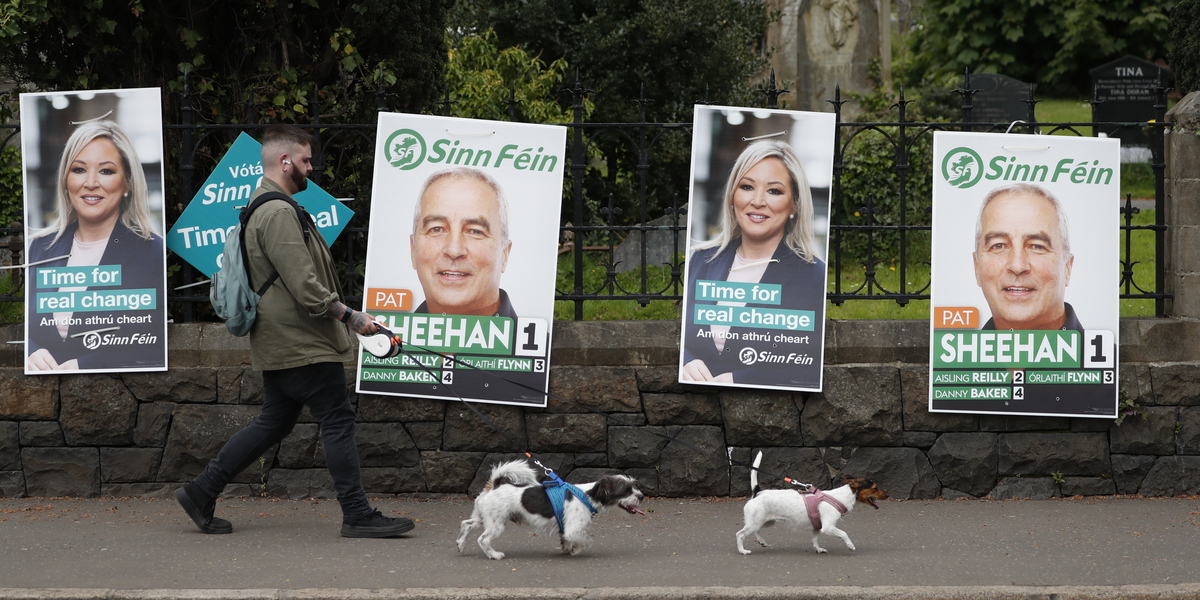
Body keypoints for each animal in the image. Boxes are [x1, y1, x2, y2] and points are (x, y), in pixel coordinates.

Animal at [458, 460, 648, 559]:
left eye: (634, 486)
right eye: (626, 490)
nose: (641, 496)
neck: (586, 495)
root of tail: (495, 485)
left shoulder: (565, 527)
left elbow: (566, 538)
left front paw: (567, 548)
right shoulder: (574, 529)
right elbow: (586, 539)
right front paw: (575, 549)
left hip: (482, 518)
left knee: (466, 524)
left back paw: (461, 544)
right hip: (496, 523)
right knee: (483, 539)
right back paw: (494, 554)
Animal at [734, 451, 888, 552]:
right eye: (875, 488)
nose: (887, 495)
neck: (841, 496)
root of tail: (757, 492)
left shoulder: (817, 527)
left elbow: (815, 539)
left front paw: (818, 549)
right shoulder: (828, 527)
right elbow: (844, 533)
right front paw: (850, 545)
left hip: (765, 521)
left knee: (756, 531)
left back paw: (762, 542)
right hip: (756, 522)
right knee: (740, 534)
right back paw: (743, 551)